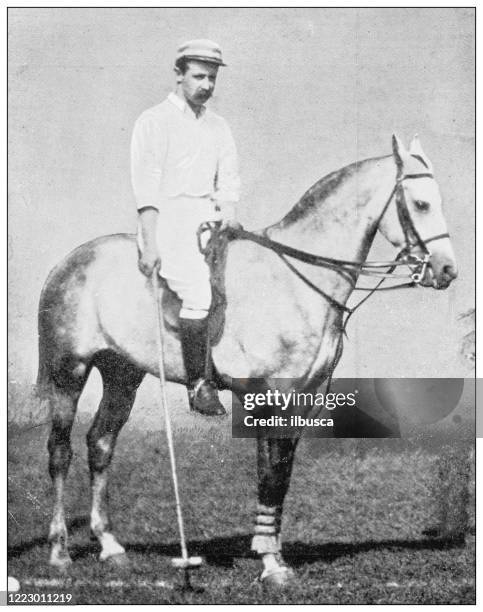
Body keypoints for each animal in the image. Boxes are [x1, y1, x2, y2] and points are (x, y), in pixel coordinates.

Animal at [37, 135, 458, 588]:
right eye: (421, 204)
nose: (447, 270)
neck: (298, 280)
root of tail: (67, 262)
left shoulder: (301, 398)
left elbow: (281, 475)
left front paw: (272, 552)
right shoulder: (274, 395)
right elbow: (270, 474)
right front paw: (271, 563)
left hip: (122, 374)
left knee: (100, 443)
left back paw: (110, 546)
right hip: (69, 372)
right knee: (60, 452)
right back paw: (59, 552)